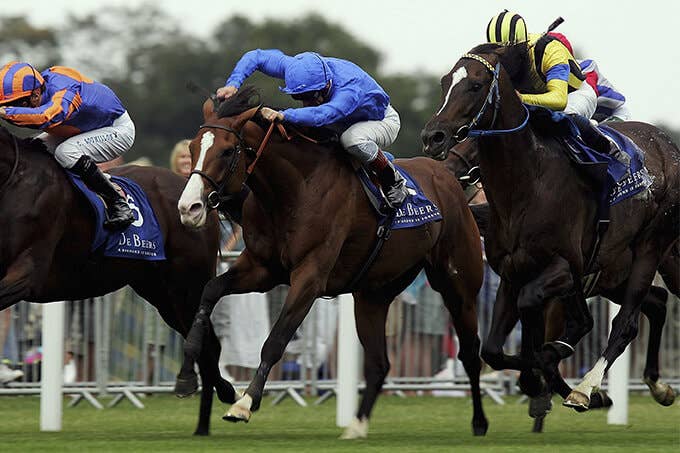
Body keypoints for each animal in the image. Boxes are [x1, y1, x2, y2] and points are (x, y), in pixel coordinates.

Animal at [0, 126, 236, 434]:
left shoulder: (26, 272)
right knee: (204, 344)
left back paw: (215, 397)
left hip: (188, 286)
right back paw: (204, 421)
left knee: (208, 345)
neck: (14, 180)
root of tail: (200, 198)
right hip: (161, 294)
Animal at [178, 86, 488, 436]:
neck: (296, 189)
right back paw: (356, 425)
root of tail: (448, 176)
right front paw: (188, 374)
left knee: (471, 354)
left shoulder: (310, 276)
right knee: (379, 364)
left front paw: (245, 402)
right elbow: (210, 291)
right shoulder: (261, 269)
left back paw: (479, 422)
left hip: (458, 285)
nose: (189, 207)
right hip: (374, 294)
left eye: (228, 151)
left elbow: (276, 339)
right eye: (192, 147)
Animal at [422, 44, 676, 412]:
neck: (528, 185)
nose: (433, 138)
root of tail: (666, 143)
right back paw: (656, 385)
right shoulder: (513, 271)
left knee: (626, 323)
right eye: (444, 83)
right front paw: (541, 372)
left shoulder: (564, 267)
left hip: (650, 248)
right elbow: (494, 350)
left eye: (476, 85)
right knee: (656, 302)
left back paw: (585, 388)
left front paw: (548, 365)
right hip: (616, 273)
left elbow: (538, 312)